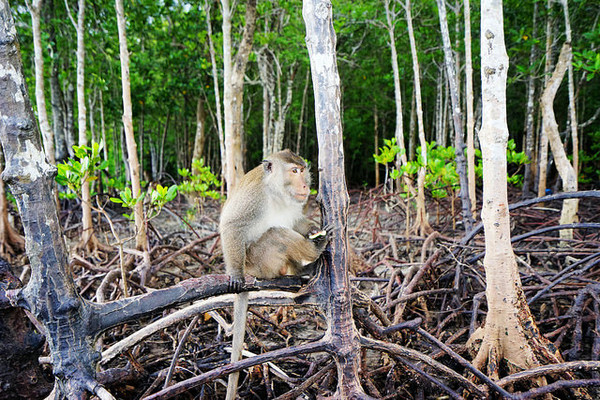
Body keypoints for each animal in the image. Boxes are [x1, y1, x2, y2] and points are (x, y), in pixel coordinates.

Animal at [218, 150, 326, 400]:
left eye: (303, 170)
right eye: (294, 171)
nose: (305, 185)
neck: (276, 193)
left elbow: (297, 222)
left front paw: (313, 226)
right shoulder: (254, 197)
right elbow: (231, 225)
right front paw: (235, 275)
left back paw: (303, 270)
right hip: (259, 262)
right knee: (277, 234)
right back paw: (315, 250)